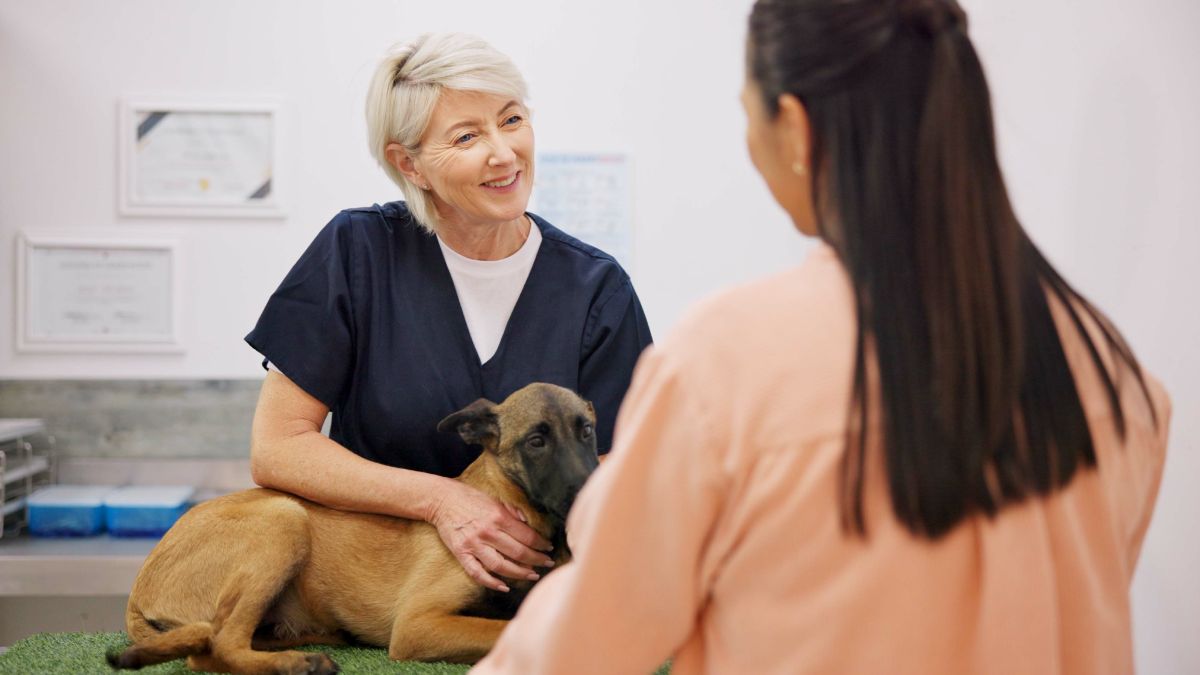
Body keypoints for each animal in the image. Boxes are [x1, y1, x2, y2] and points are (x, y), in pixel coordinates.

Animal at [108, 381, 600, 667]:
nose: (590, 492)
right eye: (536, 441)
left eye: (587, 431)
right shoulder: (418, 625)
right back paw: (299, 663)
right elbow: (507, 629)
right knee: (215, 648)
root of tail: (139, 588)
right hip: (284, 519)